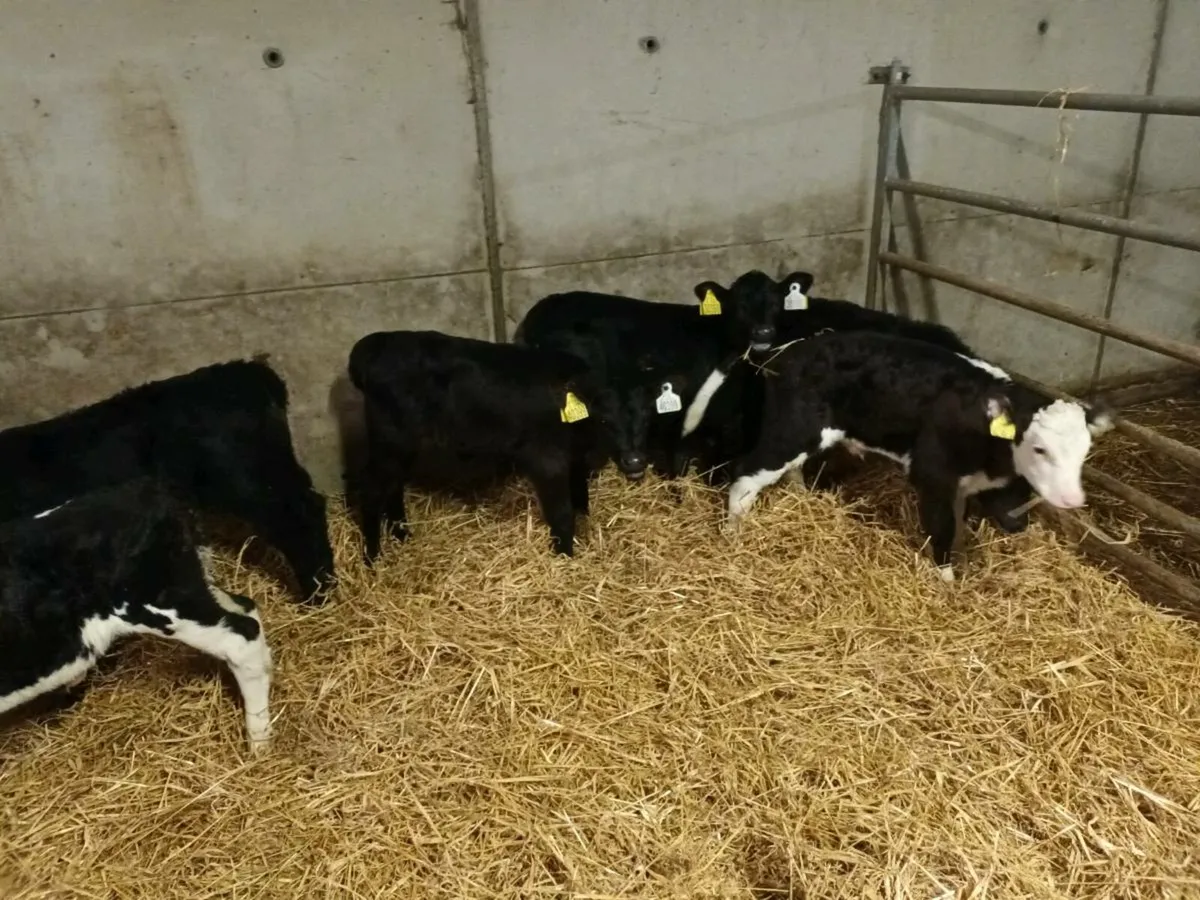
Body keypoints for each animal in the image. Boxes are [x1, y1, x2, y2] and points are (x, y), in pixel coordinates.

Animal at [0, 478, 273, 753]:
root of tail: (150, 491)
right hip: (190, 587)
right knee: (245, 607)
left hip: (160, 606)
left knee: (242, 636)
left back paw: (259, 741)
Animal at [347, 329, 625, 560]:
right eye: (603, 418)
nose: (629, 459)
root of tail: (374, 345)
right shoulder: (547, 458)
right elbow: (563, 512)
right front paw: (565, 556)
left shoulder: (576, 459)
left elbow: (581, 501)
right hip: (390, 440)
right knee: (371, 489)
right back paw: (373, 557)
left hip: (401, 446)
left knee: (392, 486)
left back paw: (402, 536)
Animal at [719, 330, 1114, 581]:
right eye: (1039, 448)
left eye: (1085, 452)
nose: (1072, 500)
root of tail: (788, 350)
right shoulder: (933, 473)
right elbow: (942, 530)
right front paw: (947, 584)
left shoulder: (962, 485)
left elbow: (958, 528)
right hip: (794, 428)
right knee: (746, 474)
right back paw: (733, 535)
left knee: (791, 471)